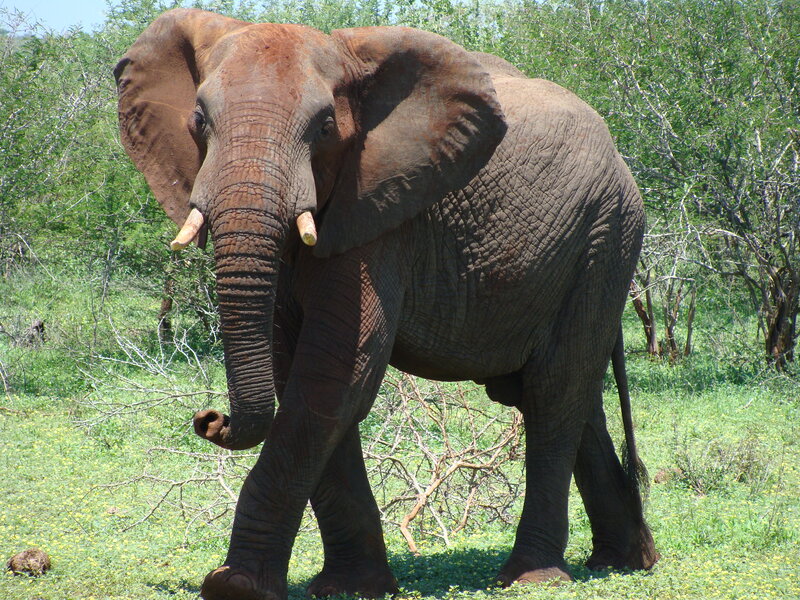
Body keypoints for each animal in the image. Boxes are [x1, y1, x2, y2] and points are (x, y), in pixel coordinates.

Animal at [115, 8, 659, 600]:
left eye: (325, 128)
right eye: (199, 120)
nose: (210, 418)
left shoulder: (380, 211)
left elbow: (336, 373)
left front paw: (236, 586)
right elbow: (300, 373)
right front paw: (349, 586)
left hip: (606, 237)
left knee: (554, 392)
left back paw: (532, 577)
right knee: (565, 395)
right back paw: (625, 562)